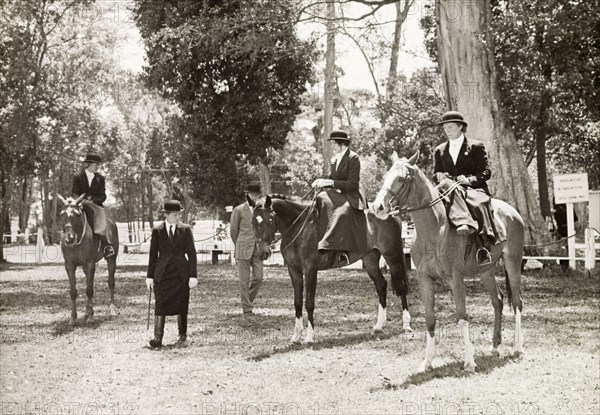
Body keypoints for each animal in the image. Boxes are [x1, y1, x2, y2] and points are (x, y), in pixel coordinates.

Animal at [57, 195, 119, 328]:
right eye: (61, 214)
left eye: (77, 214)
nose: (69, 239)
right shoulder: (69, 266)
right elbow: (73, 292)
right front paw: (73, 319)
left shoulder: (90, 264)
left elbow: (89, 290)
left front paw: (91, 317)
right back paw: (86, 312)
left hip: (111, 260)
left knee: (111, 282)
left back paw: (112, 309)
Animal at [248, 195, 412, 344]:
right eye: (252, 221)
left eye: (270, 219)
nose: (263, 253)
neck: (299, 229)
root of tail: (391, 212)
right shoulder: (294, 271)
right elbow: (297, 303)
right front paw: (295, 337)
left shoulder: (310, 270)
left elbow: (309, 303)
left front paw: (309, 337)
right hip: (370, 259)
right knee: (381, 285)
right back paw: (378, 327)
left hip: (393, 257)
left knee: (401, 287)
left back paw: (407, 326)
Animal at [372, 151, 524, 372]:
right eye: (385, 177)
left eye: (402, 178)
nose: (378, 207)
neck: (435, 230)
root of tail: (513, 212)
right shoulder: (424, 279)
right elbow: (430, 318)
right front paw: (427, 362)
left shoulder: (455, 278)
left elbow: (461, 317)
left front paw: (469, 361)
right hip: (486, 270)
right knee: (498, 301)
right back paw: (495, 345)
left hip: (513, 262)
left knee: (518, 302)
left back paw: (517, 347)